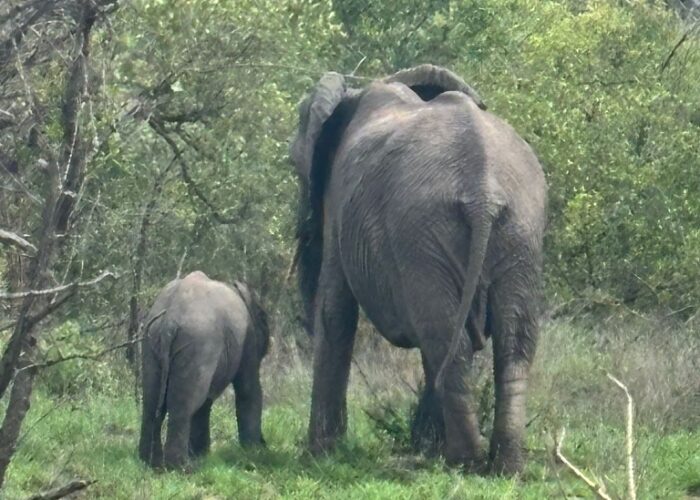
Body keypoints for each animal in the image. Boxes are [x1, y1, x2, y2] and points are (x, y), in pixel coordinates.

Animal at [138, 271, 269, 470]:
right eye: (263, 316)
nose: (265, 443)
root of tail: (170, 320)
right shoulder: (248, 339)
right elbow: (248, 389)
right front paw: (254, 452)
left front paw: (202, 454)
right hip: (198, 341)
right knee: (185, 404)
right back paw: (182, 467)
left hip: (151, 340)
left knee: (151, 401)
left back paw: (150, 462)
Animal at [289, 64, 547, 474]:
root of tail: (484, 190)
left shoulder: (338, 203)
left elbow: (335, 311)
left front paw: (319, 453)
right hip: (519, 229)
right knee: (513, 340)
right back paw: (505, 466)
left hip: (424, 231)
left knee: (445, 337)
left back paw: (463, 461)